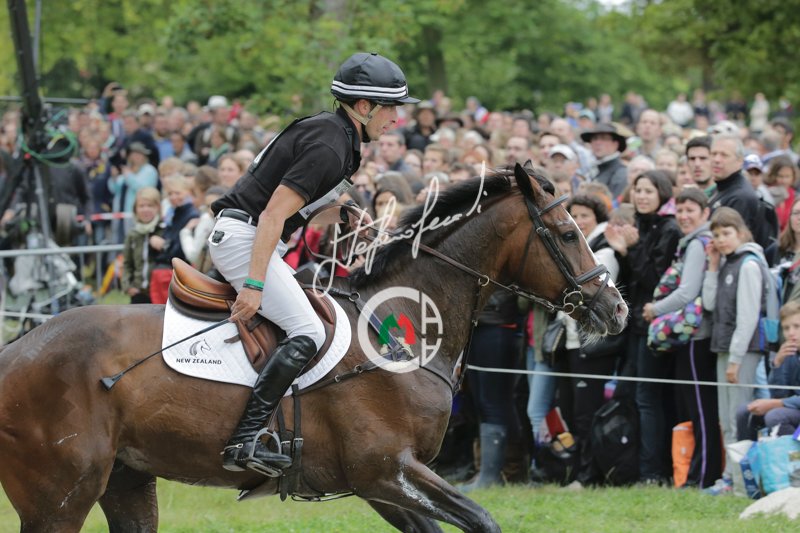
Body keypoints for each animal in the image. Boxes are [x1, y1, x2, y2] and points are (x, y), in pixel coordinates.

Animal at [0, 164, 627, 532]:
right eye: (568, 234)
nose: (617, 309)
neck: (401, 327)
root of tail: (18, 348)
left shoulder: (383, 485)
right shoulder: (387, 472)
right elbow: (483, 521)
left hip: (127, 480)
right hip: (61, 497)